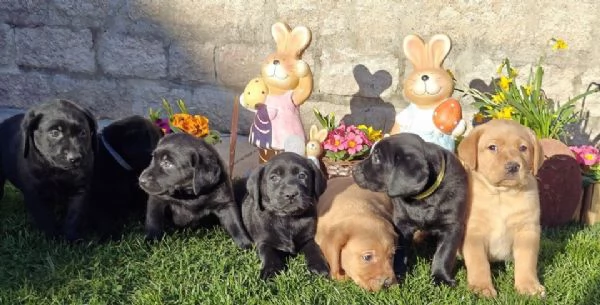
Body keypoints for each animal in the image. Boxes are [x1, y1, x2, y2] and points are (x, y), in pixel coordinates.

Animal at [0, 98, 97, 240]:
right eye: (55, 133)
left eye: (83, 133)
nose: (75, 158)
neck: (58, 171)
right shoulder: (35, 192)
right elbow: (45, 217)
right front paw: (52, 238)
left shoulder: (80, 189)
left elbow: (74, 216)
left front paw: (71, 238)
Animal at [354, 133, 466, 284]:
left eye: (377, 158)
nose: (354, 169)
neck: (422, 198)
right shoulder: (402, 224)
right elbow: (400, 250)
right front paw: (400, 272)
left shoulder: (452, 225)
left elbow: (444, 253)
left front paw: (440, 278)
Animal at [458, 119, 548, 296]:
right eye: (492, 147)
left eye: (523, 148)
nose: (513, 166)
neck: (502, 195)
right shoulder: (474, 232)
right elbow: (478, 262)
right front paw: (482, 287)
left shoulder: (527, 230)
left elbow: (527, 261)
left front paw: (528, 286)